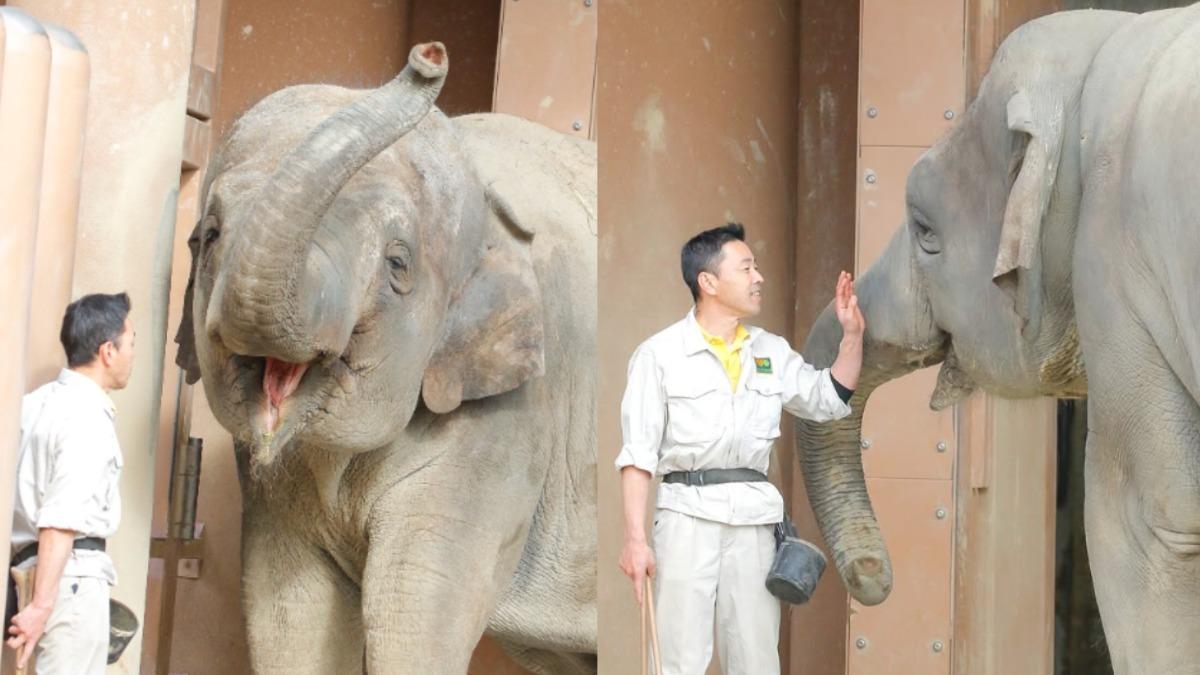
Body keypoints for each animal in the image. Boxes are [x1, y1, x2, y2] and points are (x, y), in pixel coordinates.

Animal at [173, 43, 597, 674]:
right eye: (210, 235)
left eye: (398, 263)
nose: (430, 55)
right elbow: (287, 611)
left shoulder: (511, 424)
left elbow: (413, 609)